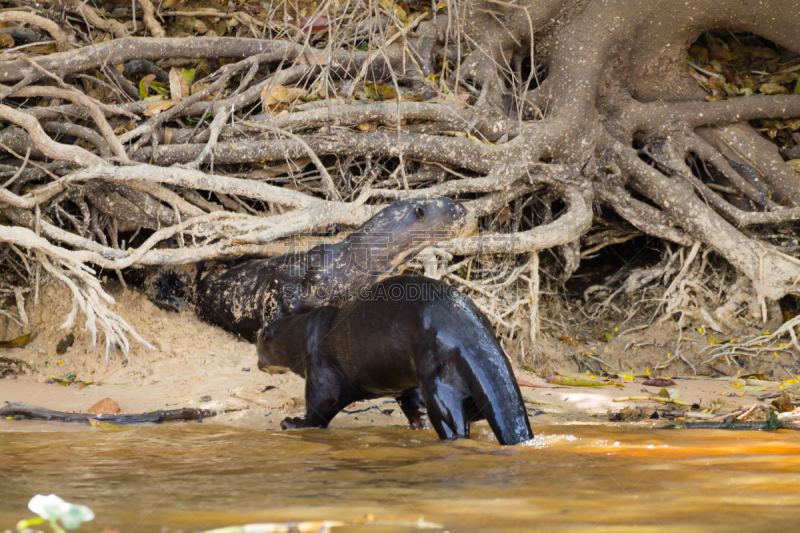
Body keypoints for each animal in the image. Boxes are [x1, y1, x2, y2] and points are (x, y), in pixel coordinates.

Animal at [145, 197, 476, 342]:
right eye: (457, 208)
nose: (474, 217)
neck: (350, 267)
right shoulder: (285, 286)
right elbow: (274, 302)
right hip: (183, 271)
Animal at [256, 274, 532, 444]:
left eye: (258, 347)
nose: (258, 364)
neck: (302, 337)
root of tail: (465, 329)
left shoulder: (320, 369)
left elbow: (318, 409)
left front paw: (293, 423)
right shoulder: (404, 386)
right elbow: (412, 404)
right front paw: (417, 423)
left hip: (439, 379)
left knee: (453, 424)